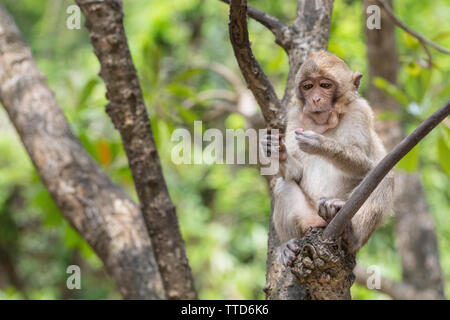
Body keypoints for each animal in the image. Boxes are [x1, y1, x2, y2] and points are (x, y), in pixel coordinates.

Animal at [260, 49, 394, 264]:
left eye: (325, 85)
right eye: (308, 86)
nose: (315, 99)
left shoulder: (360, 111)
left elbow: (367, 165)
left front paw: (320, 144)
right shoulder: (295, 116)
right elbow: (296, 174)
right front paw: (276, 150)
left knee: (383, 176)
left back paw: (350, 234)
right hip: (309, 217)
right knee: (283, 184)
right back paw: (288, 245)